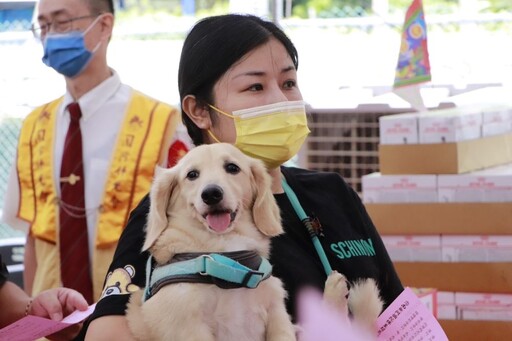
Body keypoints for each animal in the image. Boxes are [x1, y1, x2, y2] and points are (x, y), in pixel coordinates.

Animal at [127, 143, 296, 340]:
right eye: (192, 174)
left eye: (232, 167)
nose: (211, 194)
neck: (228, 263)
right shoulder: (186, 323)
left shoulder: (276, 310)